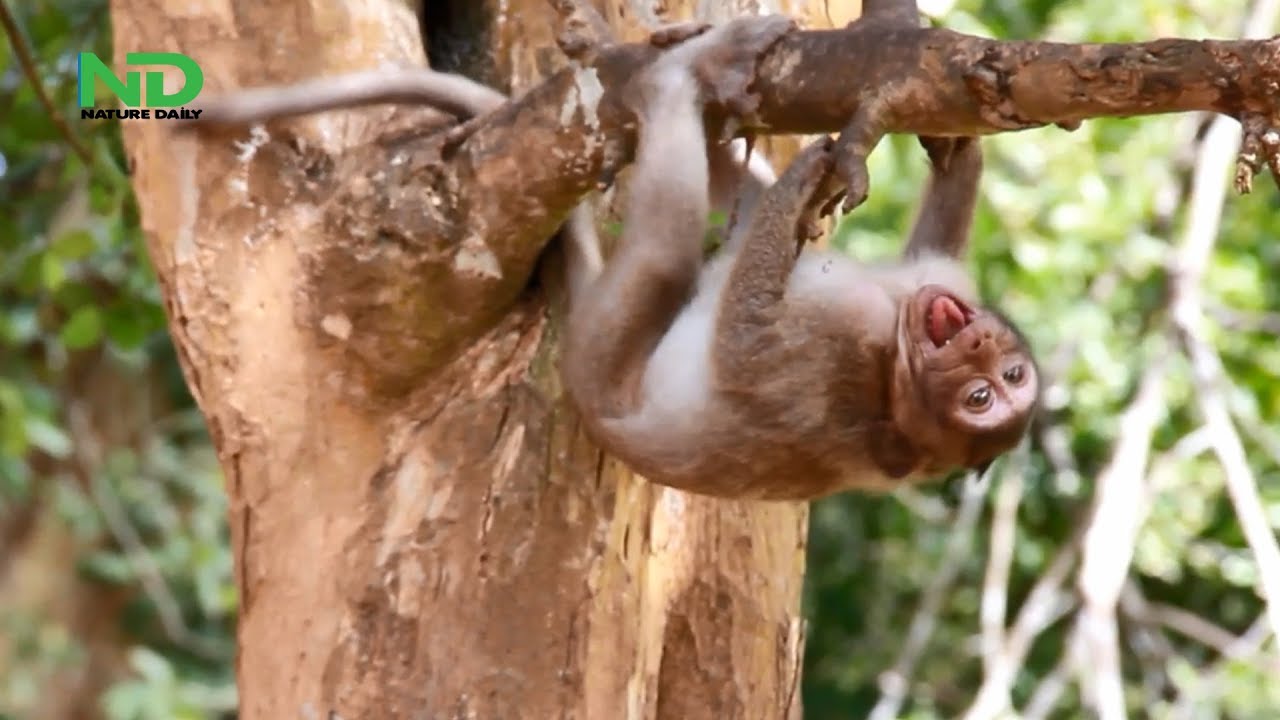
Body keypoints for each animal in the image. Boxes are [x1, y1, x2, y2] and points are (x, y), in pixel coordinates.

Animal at [559, 16, 1041, 501]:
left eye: (979, 398)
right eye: (1009, 376)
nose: (980, 341)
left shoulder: (842, 341)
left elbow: (743, 350)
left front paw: (795, 187)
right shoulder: (935, 285)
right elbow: (931, 250)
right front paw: (957, 145)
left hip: (599, 362)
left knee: (667, 250)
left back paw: (667, 81)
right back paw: (711, 63)